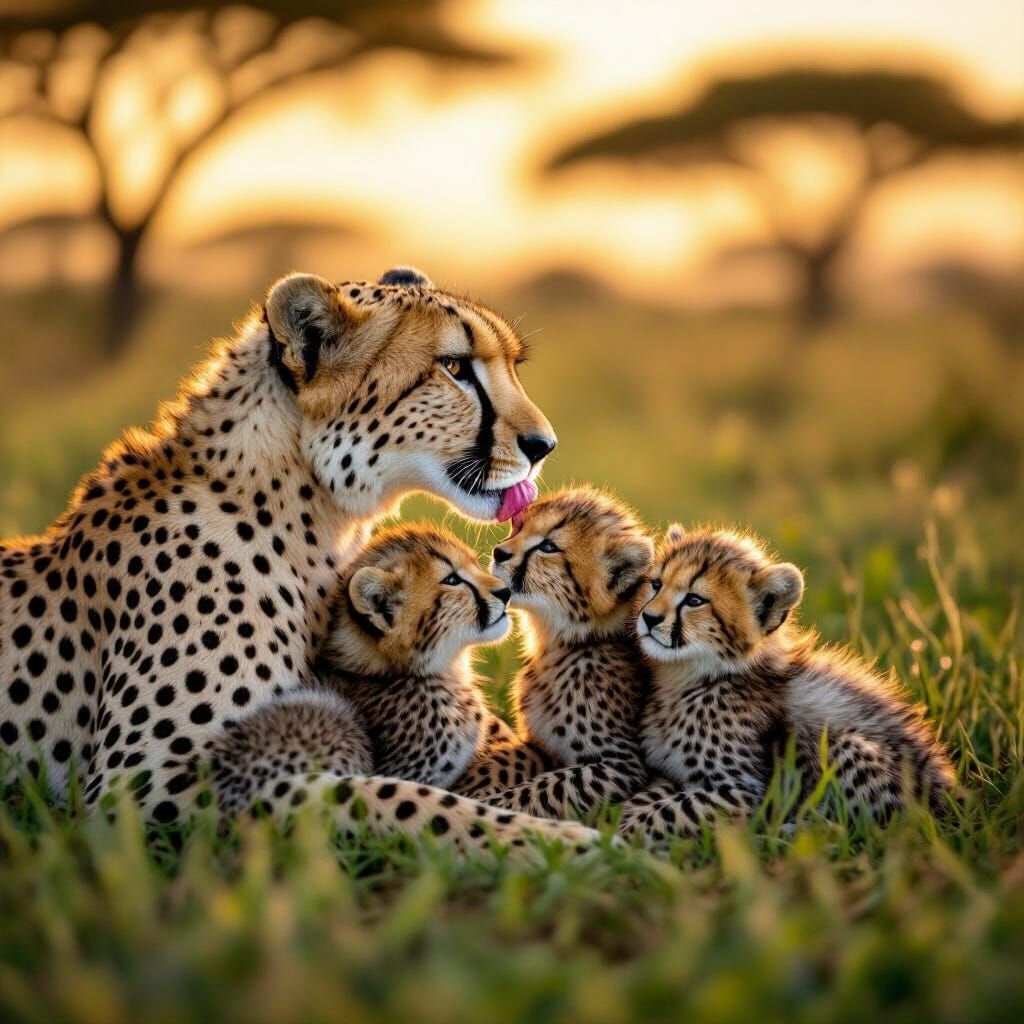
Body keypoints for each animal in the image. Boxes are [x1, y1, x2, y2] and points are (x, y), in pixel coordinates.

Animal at [0, 266, 599, 853]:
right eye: (454, 367)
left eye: (512, 366)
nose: (543, 445)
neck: (309, 512)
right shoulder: (143, 786)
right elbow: (394, 798)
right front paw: (566, 844)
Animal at [455, 487, 654, 820]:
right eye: (519, 527)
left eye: (548, 547)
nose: (499, 552)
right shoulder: (538, 745)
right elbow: (507, 758)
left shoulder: (621, 764)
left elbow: (543, 790)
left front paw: (484, 807)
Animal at [619, 523, 956, 846]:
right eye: (656, 584)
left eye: (694, 600)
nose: (648, 618)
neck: (688, 676)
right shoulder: (671, 775)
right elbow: (646, 799)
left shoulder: (742, 791)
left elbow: (664, 814)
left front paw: (618, 841)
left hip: (846, 747)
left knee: (881, 831)